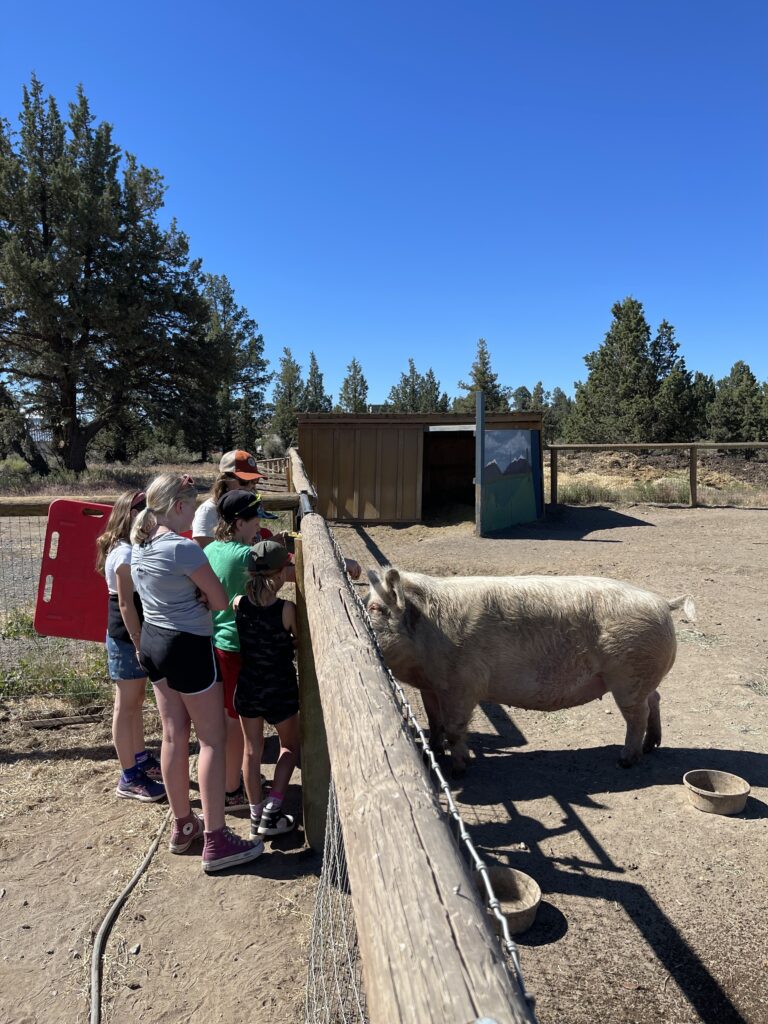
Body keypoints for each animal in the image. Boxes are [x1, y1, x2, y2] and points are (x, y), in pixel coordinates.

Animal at [365, 568, 695, 772]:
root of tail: (663, 603)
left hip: (628, 675)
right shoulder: (431, 686)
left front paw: (460, 769)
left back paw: (626, 760)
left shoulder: (462, 686)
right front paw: (430, 753)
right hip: (641, 676)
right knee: (655, 700)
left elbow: (455, 727)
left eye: (375, 609)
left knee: (637, 715)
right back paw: (652, 746)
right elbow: (435, 723)